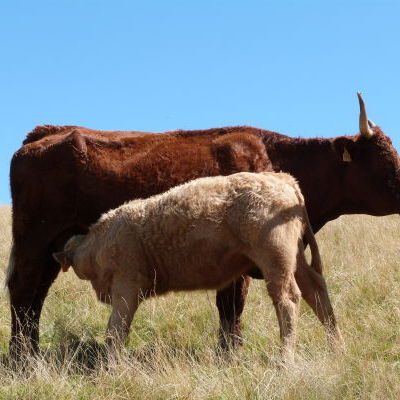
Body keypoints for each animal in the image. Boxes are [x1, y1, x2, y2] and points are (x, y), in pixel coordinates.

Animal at [51, 172, 324, 362]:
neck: (99, 241)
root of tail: (280, 177)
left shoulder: (126, 286)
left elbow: (116, 328)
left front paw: (110, 364)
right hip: (295, 259)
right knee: (316, 290)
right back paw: (333, 343)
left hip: (275, 260)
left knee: (287, 299)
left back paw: (285, 358)